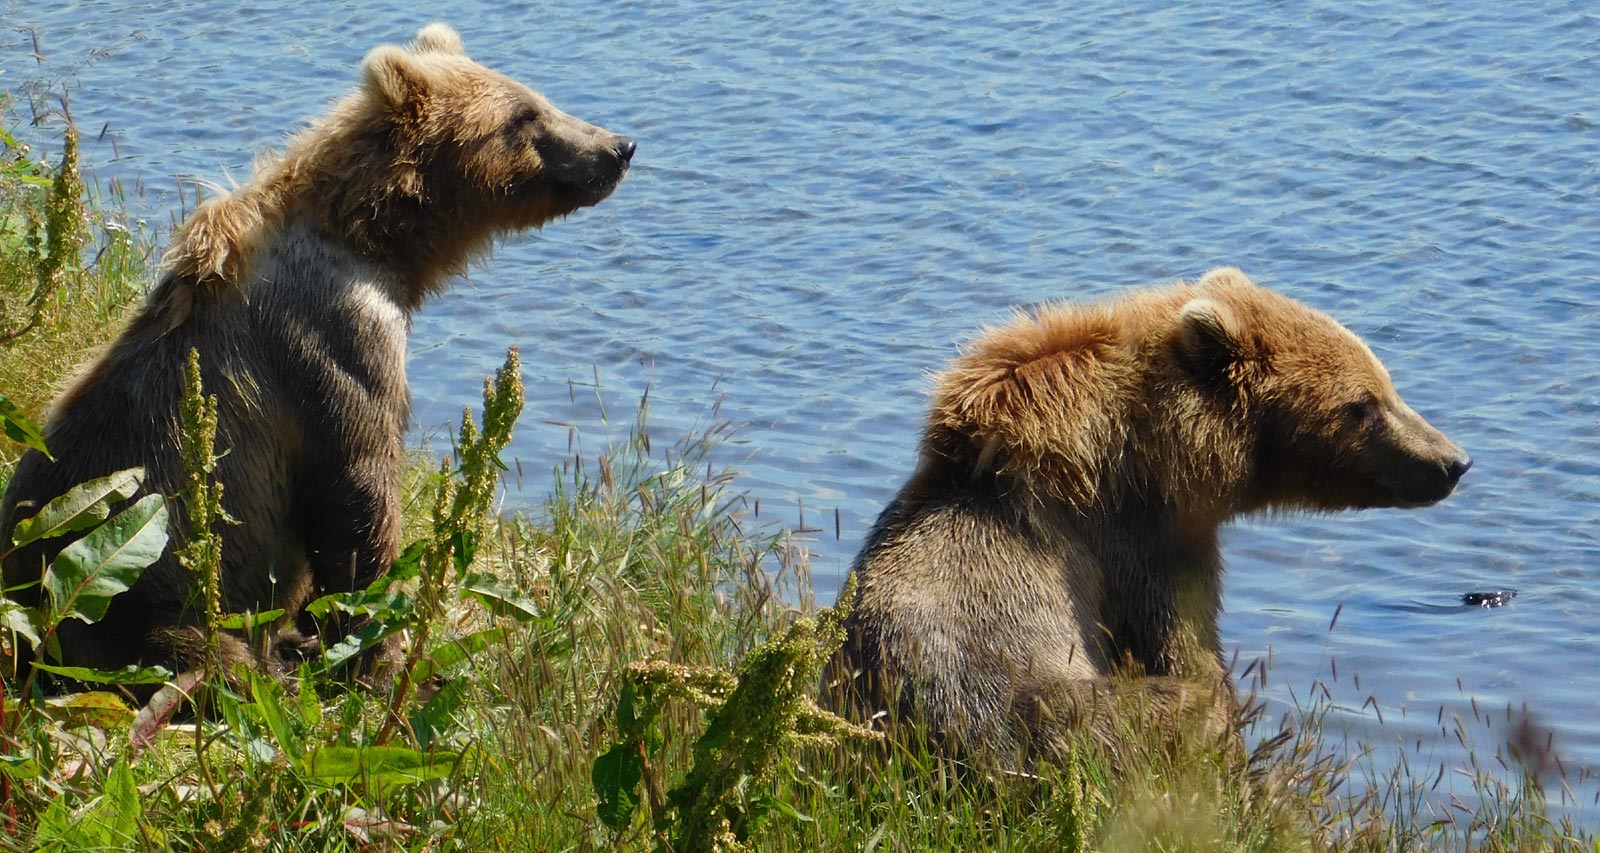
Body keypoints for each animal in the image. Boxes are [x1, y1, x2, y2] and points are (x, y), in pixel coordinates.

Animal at [0, 23, 634, 682]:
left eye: (535, 98)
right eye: (524, 115)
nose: (620, 146)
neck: (372, 238)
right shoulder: (334, 335)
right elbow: (357, 488)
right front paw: (379, 656)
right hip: (129, 600)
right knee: (200, 652)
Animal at [823, 268, 1471, 762]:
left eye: (1386, 385)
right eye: (1362, 404)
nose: (1452, 461)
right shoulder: (1138, 541)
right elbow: (1185, 650)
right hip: (1037, 708)